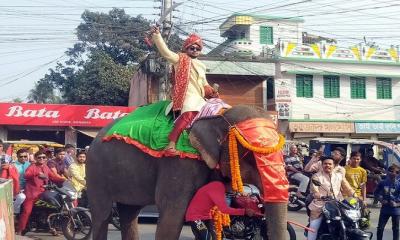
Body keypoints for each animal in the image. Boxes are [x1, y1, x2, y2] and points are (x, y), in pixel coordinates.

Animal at [86, 104, 288, 240]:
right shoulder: (179, 164)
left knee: (129, 214)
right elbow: (172, 216)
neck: (216, 116)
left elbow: (210, 217)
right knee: (102, 215)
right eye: (250, 155)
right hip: (96, 171)